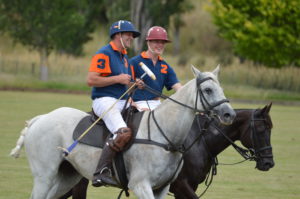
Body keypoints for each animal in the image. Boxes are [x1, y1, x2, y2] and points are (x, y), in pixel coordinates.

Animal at [10, 65, 237, 199]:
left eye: (222, 89)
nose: (229, 114)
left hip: (68, 176)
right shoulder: (141, 184)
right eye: (208, 90)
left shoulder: (162, 188)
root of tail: (40, 119)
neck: (166, 136)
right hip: (44, 175)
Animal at [59, 103, 274, 198]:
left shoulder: (186, 185)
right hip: (79, 182)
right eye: (261, 129)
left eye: (271, 129)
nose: (268, 163)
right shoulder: (181, 185)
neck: (200, 140)